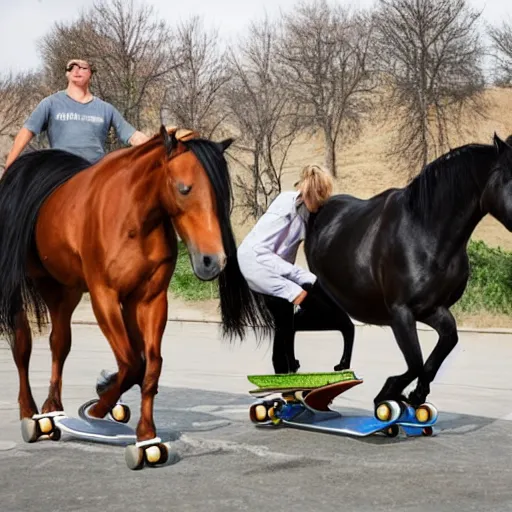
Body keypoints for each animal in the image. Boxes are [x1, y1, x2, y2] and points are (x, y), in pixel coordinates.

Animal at [0, 125, 272, 468]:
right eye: (184, 189)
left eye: (222, 195)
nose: (213, 261)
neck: (133, 218)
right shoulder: (104, 296)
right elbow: (131, 363)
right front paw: (97, 409)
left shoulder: (149, 299)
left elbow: (149, 366)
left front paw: (146, 438)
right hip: (19, 287)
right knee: (22, 345)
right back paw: (31, 414)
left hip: (62, 290)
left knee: (59, 344)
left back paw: (52, 409)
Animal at [292, 134, 512, 410]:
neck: (425, 232)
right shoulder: (401, 312)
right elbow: (415, 362)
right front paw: (388, 393)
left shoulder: (431, 308)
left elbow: (444, 344)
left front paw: (416, 395)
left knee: (345, 327)